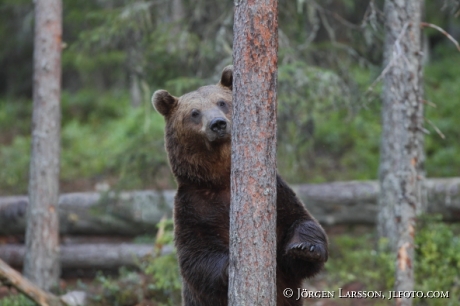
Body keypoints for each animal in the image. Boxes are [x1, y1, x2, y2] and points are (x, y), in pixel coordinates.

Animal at [153, 65, 328, 304]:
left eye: (221, 102)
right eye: (194, 113)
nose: (217, 124)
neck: (221, 179)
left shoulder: (276, 192)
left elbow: (300, 222)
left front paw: (305, 248)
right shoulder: (194, 206)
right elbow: (195, 256)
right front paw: (232, 268)